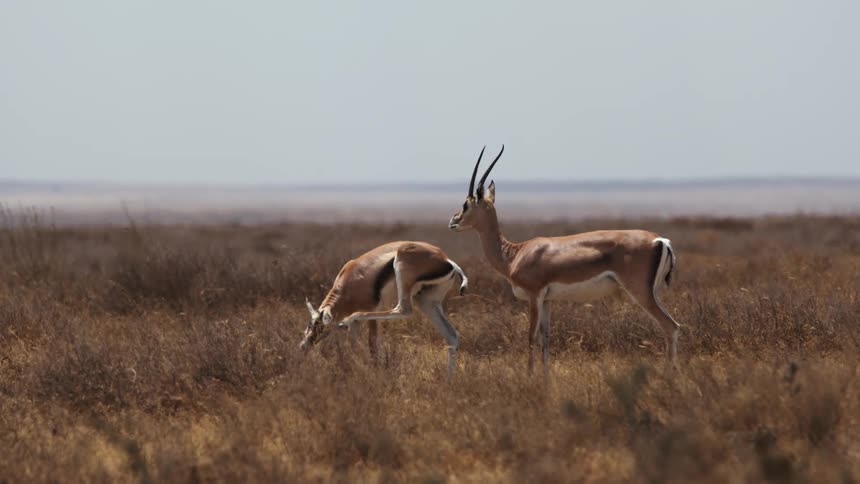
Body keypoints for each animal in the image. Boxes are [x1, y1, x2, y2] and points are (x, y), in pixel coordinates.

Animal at [298, 241, 468, 376]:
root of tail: (447, 261)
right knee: (451, 335)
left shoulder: (373, 310)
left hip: (404, 284)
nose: (303, 347)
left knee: (403, 310)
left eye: (314, 325)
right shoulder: (358, 324)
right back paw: (448, 379)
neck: (350, 281)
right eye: (309, 324)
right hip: (427, 302)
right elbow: (352, 344)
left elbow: (372, 343)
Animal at [448, 146, 682, 373]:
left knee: (670, 326)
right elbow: (546, 338)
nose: (453, 222)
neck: (515, 254)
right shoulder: (547, 300)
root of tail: (660, 240)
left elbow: (531, 337)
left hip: (639, 292)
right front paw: (545, 378)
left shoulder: (535, 295)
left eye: (466, 204)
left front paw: (529, 376)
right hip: (652, 292)